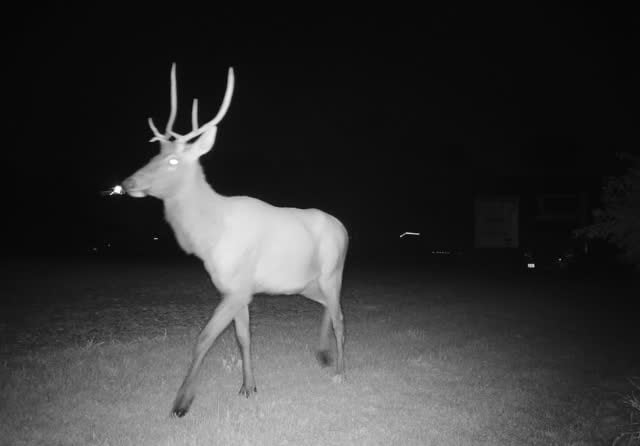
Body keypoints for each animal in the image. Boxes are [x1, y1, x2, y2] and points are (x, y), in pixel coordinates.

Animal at [120, 64, 349, 418]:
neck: (211, 236)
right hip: (306, 283)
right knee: (330, 308)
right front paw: (248, 388)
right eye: (153, 155)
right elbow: (243, 337)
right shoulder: (236, 289)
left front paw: (181, 403)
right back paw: (322, 355)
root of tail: (345, 229)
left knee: (340, 316)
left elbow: (204, 338)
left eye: (173, 161)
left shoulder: (238, 287)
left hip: (331, 272)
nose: (128, 182)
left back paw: (339, 372)